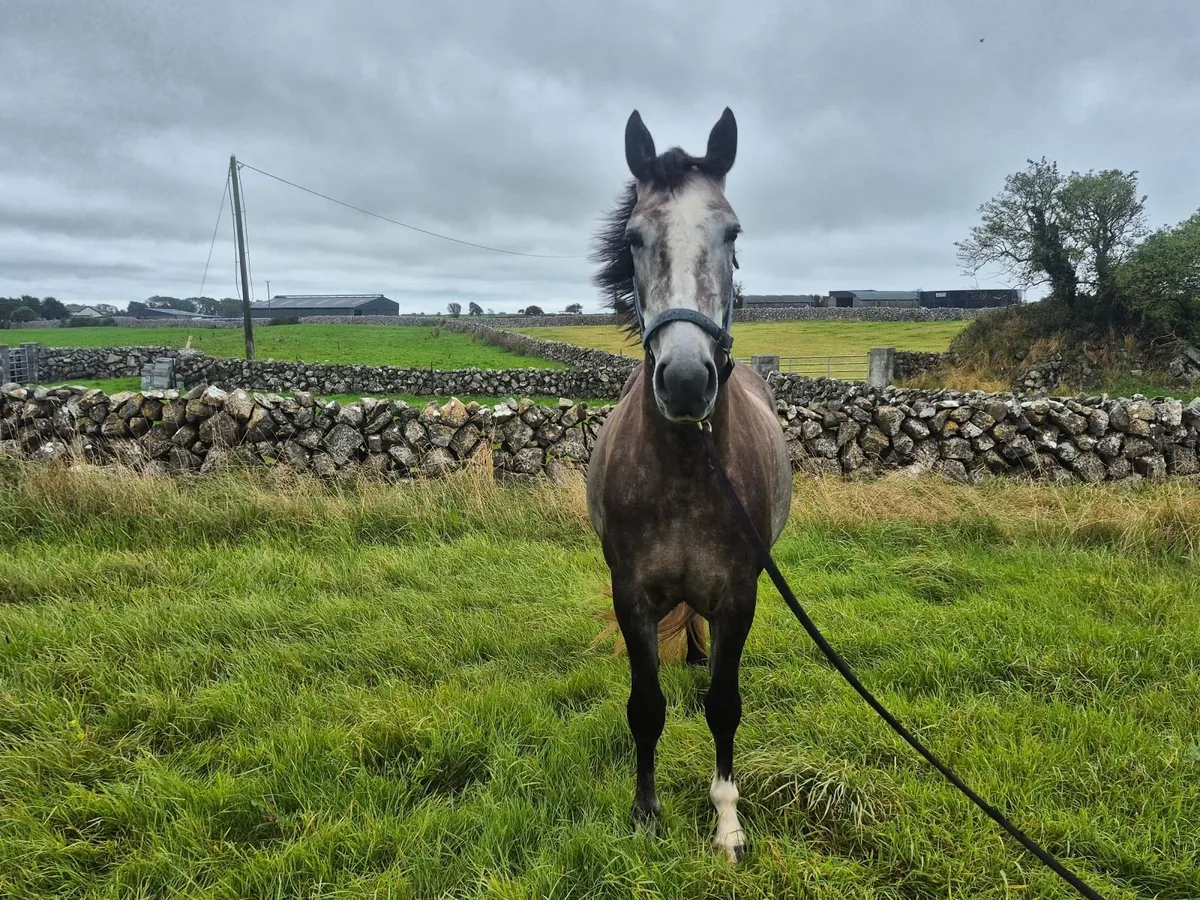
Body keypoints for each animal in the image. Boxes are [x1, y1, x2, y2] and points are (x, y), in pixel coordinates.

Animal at [585, 107, 793, 864]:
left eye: (731, 232)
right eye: (633, 238)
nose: (683, 380)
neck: (683, 463)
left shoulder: (739, 595)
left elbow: (724, 706)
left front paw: (727, 821)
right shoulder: (631, 594)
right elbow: (645, 707)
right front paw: (646, 812)